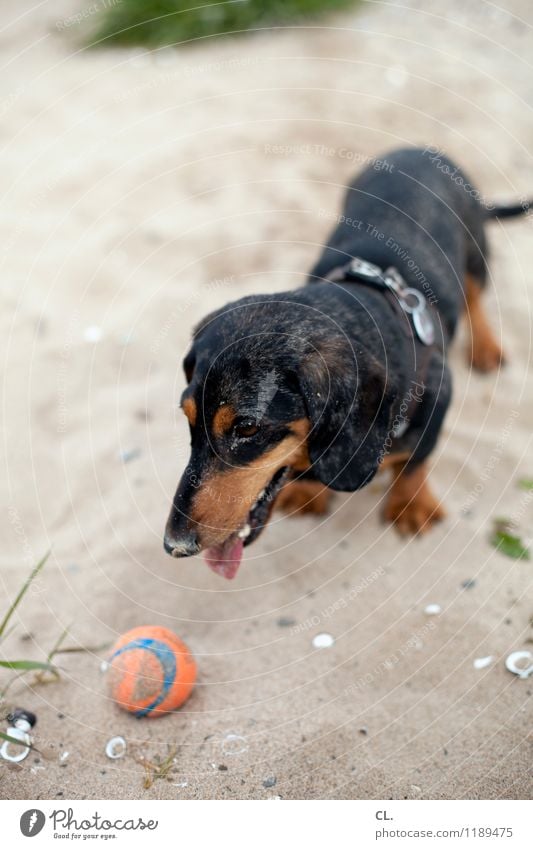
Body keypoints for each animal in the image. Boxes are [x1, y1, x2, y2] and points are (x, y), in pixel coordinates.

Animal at [162, 149, 528, 580]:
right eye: (187, 417)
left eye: (247, 428)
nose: (174, 545)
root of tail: (419, 149)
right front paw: (308, 488)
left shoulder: (441, 391)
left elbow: (416, 459)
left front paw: (411, 503)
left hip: (475, 253)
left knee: (475, 295)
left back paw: (486, 346)